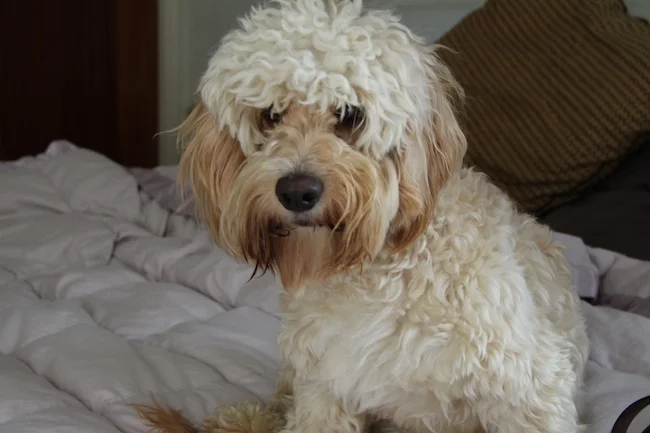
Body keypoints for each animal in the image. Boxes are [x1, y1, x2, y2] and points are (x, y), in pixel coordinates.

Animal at [135, 0, 588, 432]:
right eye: (270, 115)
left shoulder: (528, 387)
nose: (296, 192)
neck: (373, 271)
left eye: (351, 114)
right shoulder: (324, 389)